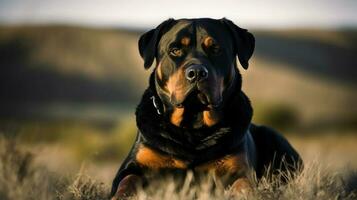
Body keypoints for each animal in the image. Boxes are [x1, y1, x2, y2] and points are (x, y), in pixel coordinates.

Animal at [110, 18, 302, 199]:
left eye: (215, 49)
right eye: (175, 50)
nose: (196, 72)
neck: (193, 126)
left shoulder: (238, 169)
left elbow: (243, 185)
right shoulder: (134, 165)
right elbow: (127, 180)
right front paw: (121, 196)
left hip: (274, 136)